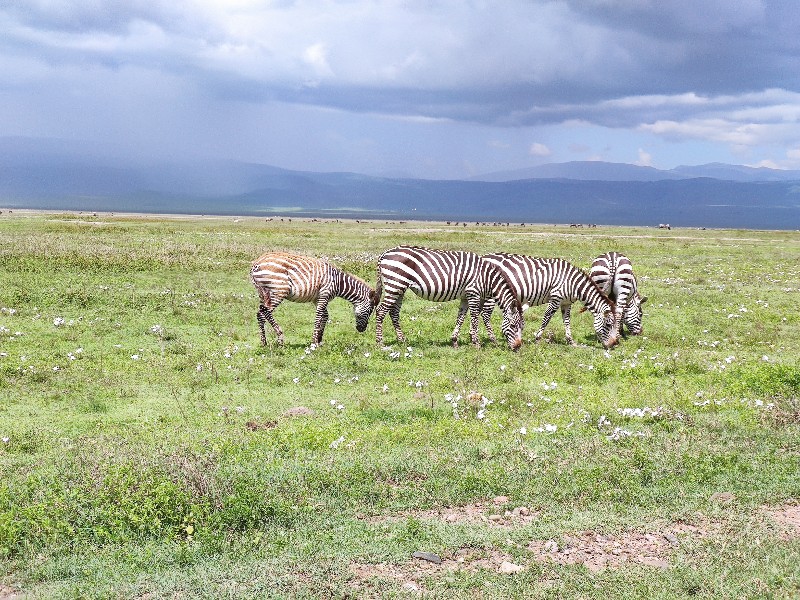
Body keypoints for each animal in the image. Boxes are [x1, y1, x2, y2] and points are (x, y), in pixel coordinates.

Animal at [374, 246, 524, 350]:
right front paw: (476, 344)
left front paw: (454, 341)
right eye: (513, 325)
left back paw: (402, 340)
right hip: (395, 284)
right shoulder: (473, 293)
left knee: (393, 312)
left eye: (522, 327)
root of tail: (385, 253)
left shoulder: (465, 296)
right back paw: (380, 343)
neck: (487, 278)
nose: (518, 347)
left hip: (400, 288)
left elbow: (461, 318)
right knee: (381, 311)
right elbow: (475, 318)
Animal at [479, 253, 619, 349]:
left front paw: (571, 341)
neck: (573, 284)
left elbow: (567, 321)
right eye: (608, 325)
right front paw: (537, 338)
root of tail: (484, 256)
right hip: (491, 295)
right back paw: (493, 340)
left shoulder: (566, 303)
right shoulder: (556, 298)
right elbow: (547, 318)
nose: (613, 344)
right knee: (485, 315)